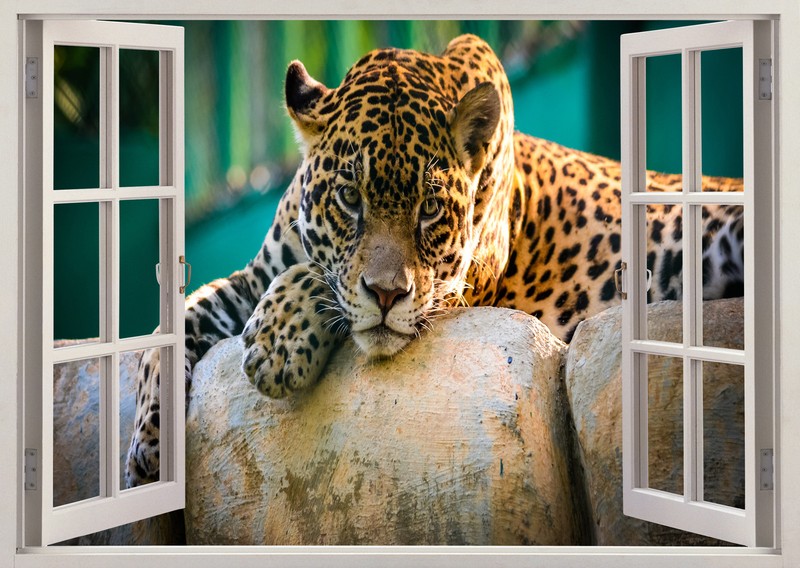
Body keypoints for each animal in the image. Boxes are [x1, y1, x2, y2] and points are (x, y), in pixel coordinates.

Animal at [124, 34, 745, 487]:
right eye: (349, 197)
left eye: (429, 209)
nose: (387, 295)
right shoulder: (252, 277)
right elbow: (174, 318)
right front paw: (149, 447)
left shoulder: (460, 281)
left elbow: (323, 281)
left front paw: (278, 342)